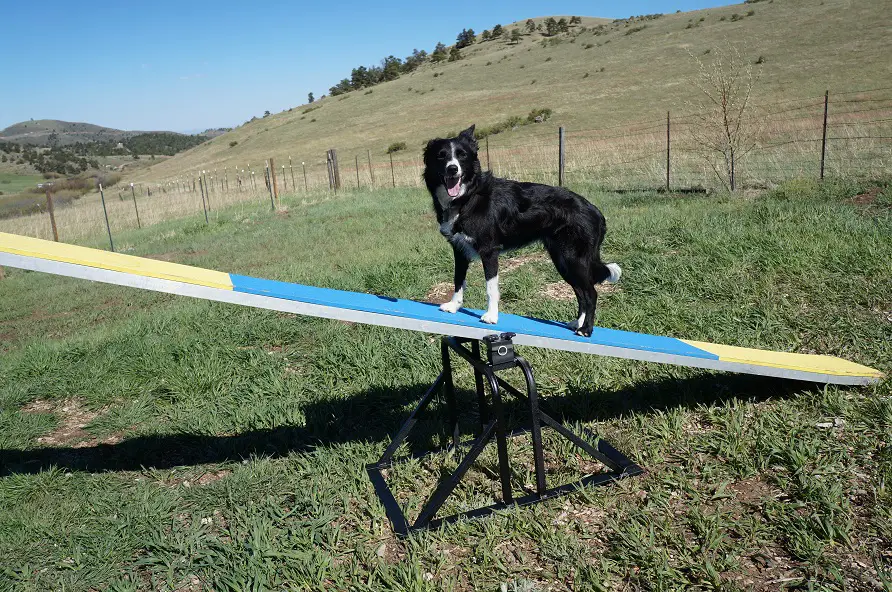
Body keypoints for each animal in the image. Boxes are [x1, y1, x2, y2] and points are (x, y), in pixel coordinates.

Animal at [424, 123, 620, 338]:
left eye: (462, 156)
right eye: (441, 156)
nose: (452, 169)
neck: (466, 197)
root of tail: (596, 211)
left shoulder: (489, 251)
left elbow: (491, 287)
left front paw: (491, 316)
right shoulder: (459, 250)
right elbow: (458, 280)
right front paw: (453, 306)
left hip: (573, 259)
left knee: (591, 293)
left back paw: (586, 329)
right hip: (563, 260)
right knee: (581, 292)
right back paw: (577, 323)